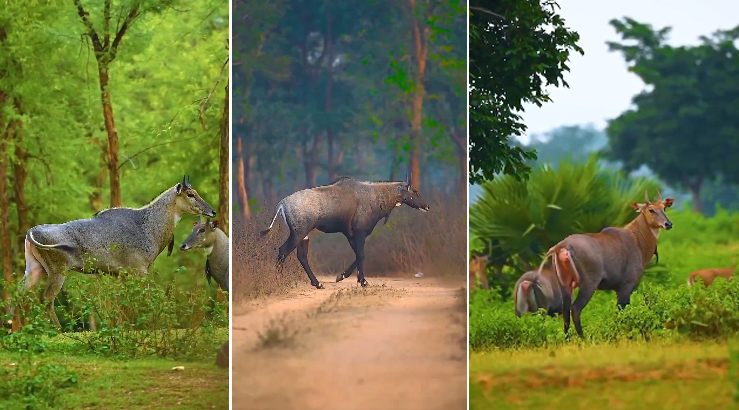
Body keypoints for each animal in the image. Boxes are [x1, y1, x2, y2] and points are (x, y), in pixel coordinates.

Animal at [16, 175, 216, 328]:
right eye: (191, 194)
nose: (212, 211)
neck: (150, 228)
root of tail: (30, 232)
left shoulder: (123, 274)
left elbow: (124, 302)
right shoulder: (139, 270)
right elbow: (145, 298)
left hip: (35, 268)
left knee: (20, 292)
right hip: (58, 270)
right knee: (46, 298)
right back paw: (58, 330)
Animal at [260, 174, 430, 289]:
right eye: (415, 191)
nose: (426, 206)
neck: (376, 197)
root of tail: (282, 203)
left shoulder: (350, 234)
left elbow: (359, 255)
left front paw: (343, 276)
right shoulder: (360, 232)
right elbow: (361, 254)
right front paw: (363, 281)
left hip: (304, 235)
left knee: (301, 256)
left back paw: (318, 283)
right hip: (298, 233)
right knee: (283, 250)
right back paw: (280, 281)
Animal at [537, 189, 674, 337]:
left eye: (664, 208)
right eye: (651, 210)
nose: (668, 224)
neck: (637, 240)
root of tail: (562, 245)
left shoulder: (617, 288)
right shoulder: (627, 285)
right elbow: (623, 310)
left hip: (565, 284)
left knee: (565, 311)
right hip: (588, 284)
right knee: (576, 308)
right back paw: (583, 338)